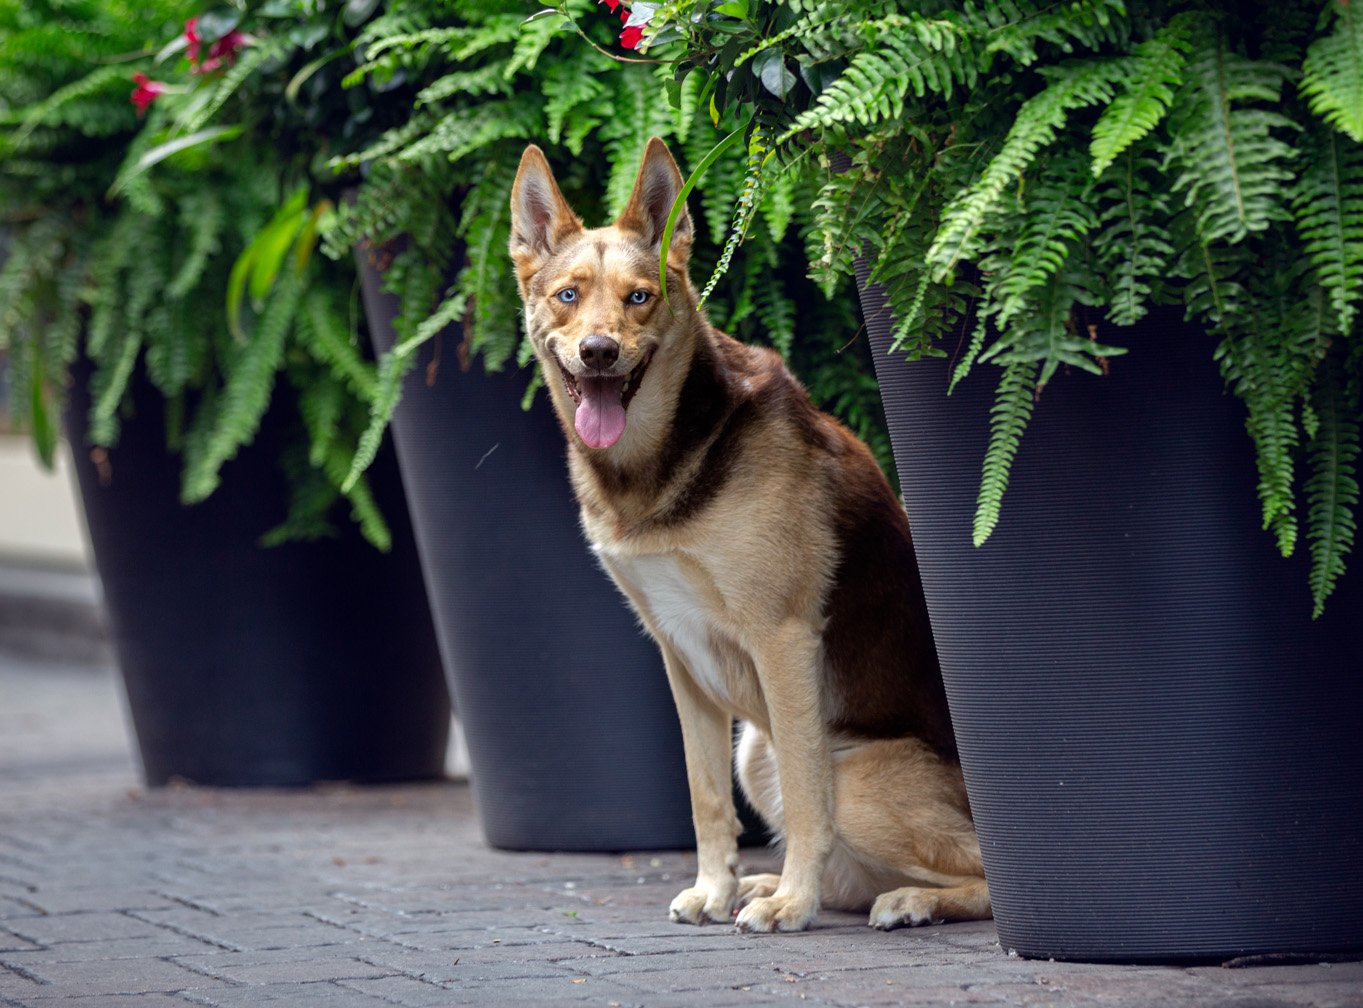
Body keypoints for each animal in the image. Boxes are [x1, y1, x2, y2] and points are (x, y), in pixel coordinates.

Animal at [512, 137, 992, 931]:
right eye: (568, 296)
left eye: (639, 297)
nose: (600, 352)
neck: (662, 458)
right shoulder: (678, 654)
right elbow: (704, 797)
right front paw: (716, 888)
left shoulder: (782, 638)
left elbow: (805, 800)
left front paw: (792, 904)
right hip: (753, 750)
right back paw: (771, 886)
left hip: (847, 774)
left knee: (978, 867)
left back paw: (902, 900)